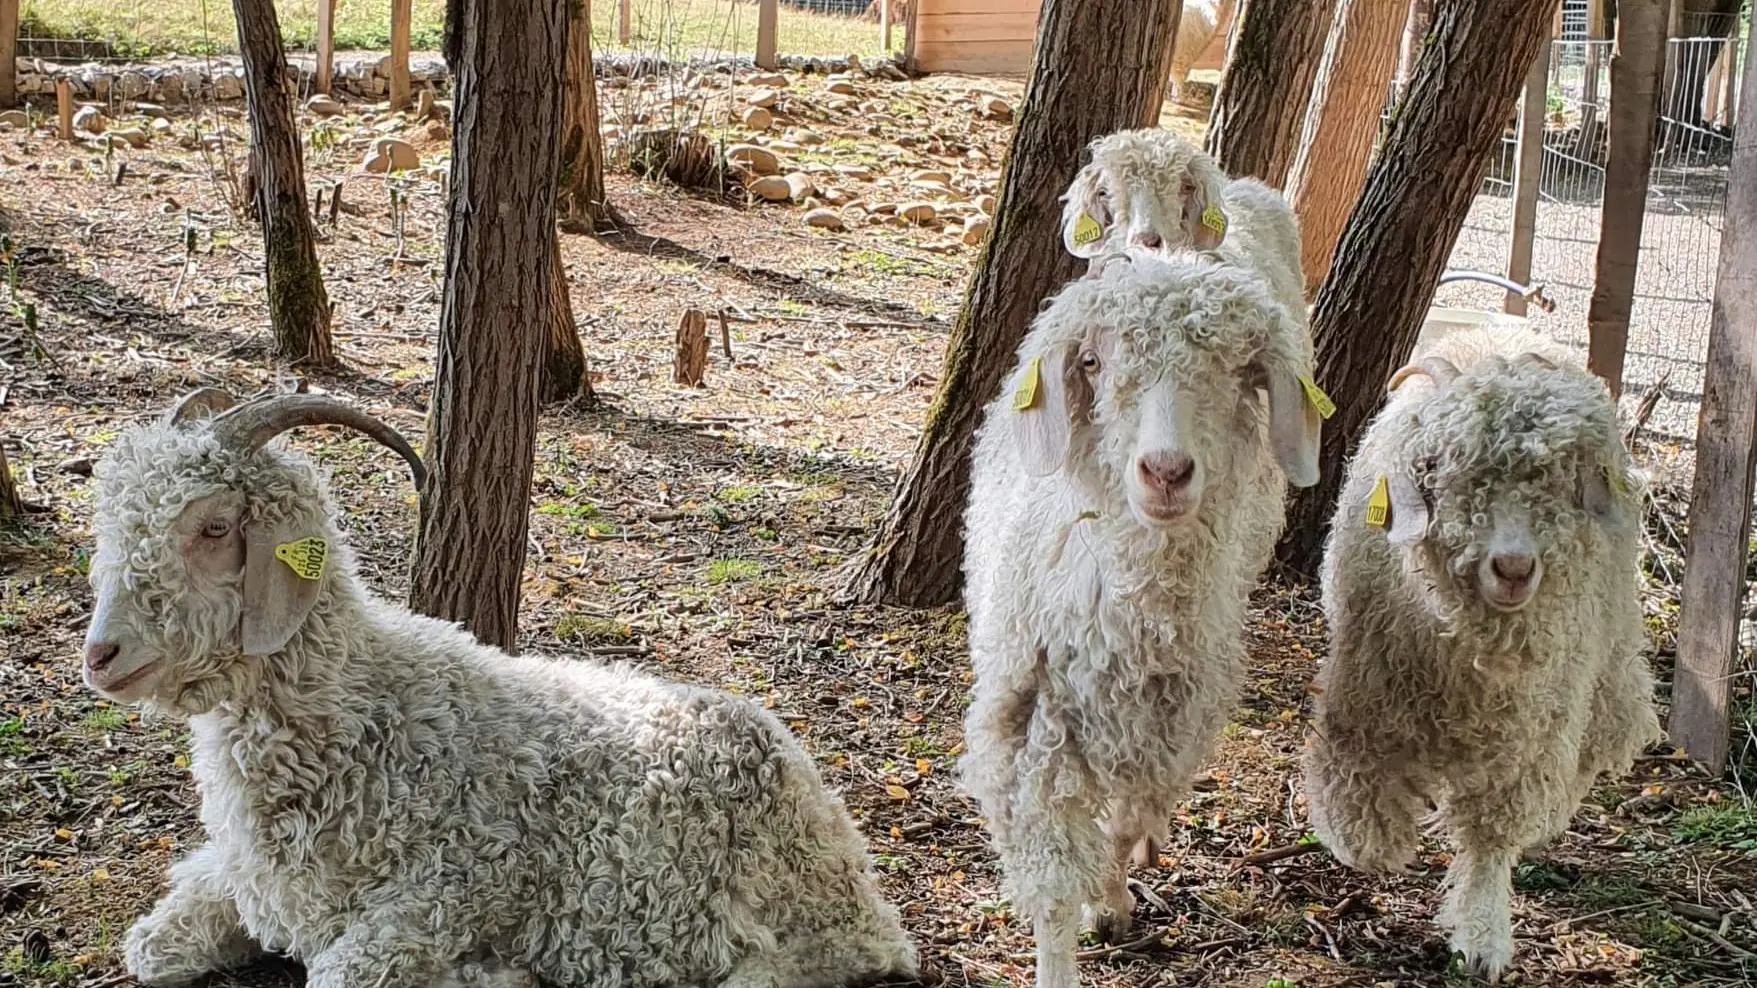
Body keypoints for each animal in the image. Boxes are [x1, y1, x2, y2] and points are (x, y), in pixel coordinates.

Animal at [79, 388, 920, 984]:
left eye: (215, 528)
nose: (101, 655)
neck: (365, 717)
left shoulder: (461, 882)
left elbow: (340, 972)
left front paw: (491, 973)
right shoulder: (249, 876)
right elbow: (149, 946)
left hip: (793, 916)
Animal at [962, 244, 1321, 984]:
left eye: (1240, 372)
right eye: (1092, 362)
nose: (1165, 471)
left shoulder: (1170, 727)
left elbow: (1126, 819)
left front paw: (1113, 899)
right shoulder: (1027, 729)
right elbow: (1051, 886)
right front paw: (1061, 956)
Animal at [1307, 325, 1658, 977]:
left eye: (1558, 481)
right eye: (1447, 472)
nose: (1515, 568)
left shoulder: (1530, 728)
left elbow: (1494, 833)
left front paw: (1482, 931)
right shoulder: (1366, 690)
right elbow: (1359, 801)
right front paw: (1367, 838)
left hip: (1606, 648)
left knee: (1604, 730)